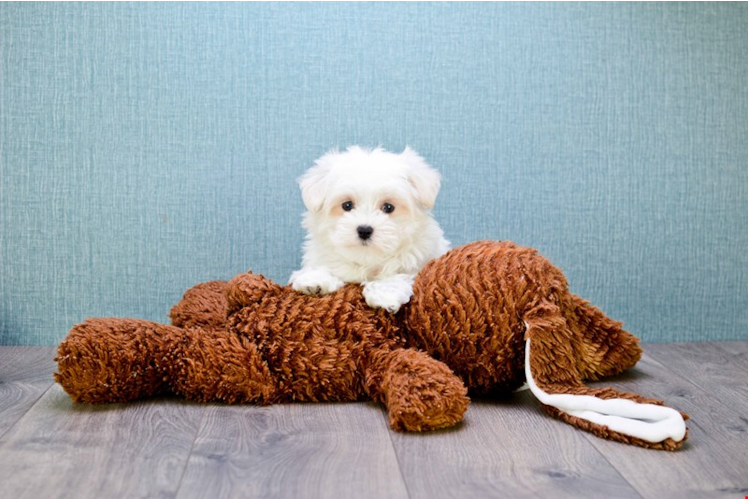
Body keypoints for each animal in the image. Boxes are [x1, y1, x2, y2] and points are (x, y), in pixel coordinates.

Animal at [288, 145, 450, 314]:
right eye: (347, 205)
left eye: (388, 207)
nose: (364, 230)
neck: (366, 260)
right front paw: (315, 278)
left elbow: (395, 274)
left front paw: (385, 293)